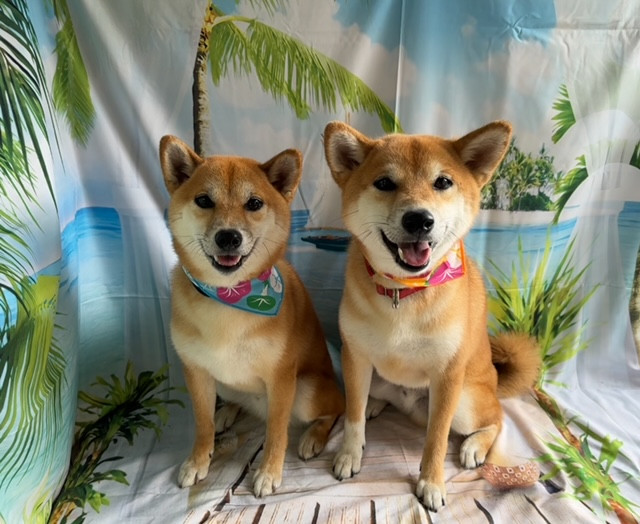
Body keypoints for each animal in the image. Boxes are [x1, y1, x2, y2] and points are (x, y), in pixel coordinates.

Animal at [159, 136, 345, 497]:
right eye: (204, 200)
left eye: (254, 203)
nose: (228, 236)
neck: (231, 299)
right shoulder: (196, 372)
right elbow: (202, 424)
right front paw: (198, 460)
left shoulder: (282, 379)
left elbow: (276, 431)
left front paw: (269, 472)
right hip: (225, 382)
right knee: (232, 401)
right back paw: (227, 413)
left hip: (307, 391)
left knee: (337, 407)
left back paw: (314, 437)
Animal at [323, 121, 541, 511]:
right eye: (384, 183)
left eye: (442, 182)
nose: (419, 219)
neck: (404, 291)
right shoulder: (355, 357)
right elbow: (352, 416)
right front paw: (349, 455)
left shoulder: (448, 374)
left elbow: (436, 438)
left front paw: (432, 483)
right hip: (375, 376)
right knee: (368, 399)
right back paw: (375, 404)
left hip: (467, 401)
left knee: (497, 420)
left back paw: (474, 446)